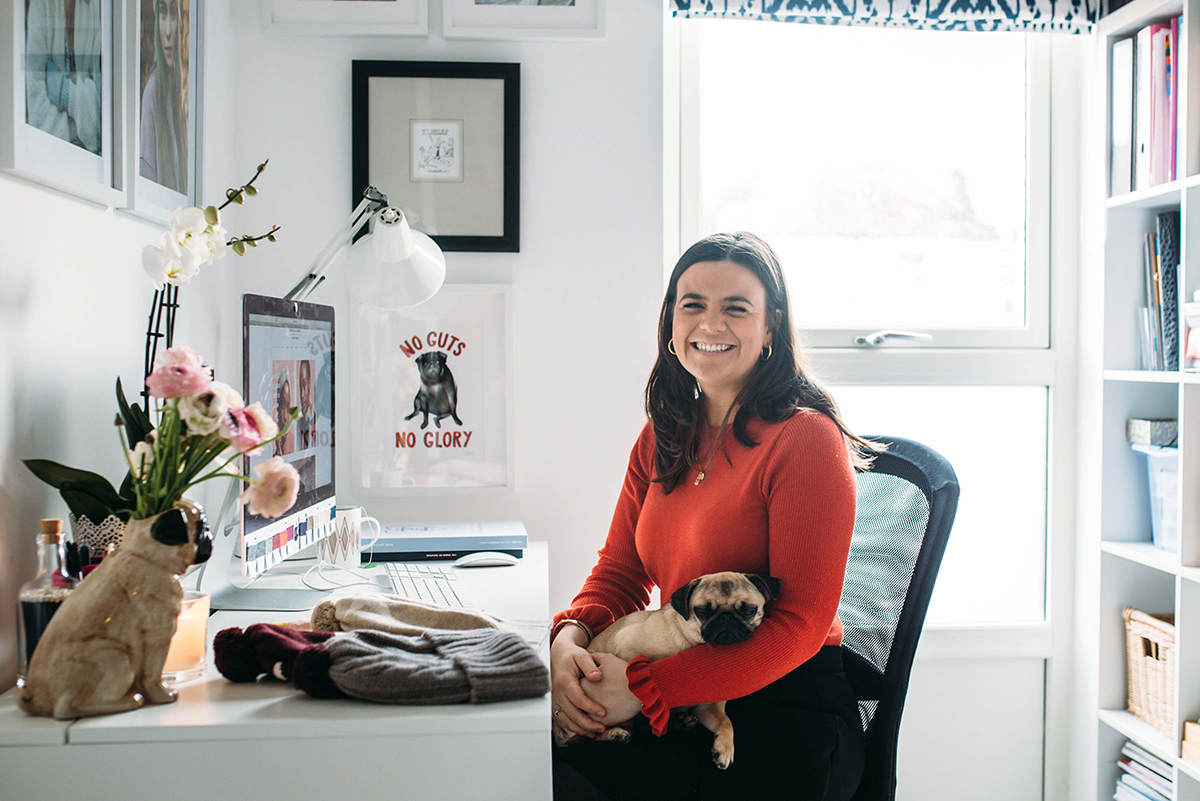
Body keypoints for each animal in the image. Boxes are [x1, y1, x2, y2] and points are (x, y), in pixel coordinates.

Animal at [19, 501, 212, 719]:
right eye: (201, 528)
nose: (209, 534)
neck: (143, 555)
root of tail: (39, 701)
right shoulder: (159, 636)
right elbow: (152, 675)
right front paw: (162, 694)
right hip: (118, 657)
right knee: (66, 707)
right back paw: (130, 700)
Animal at [552, 568, 777, 767]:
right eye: (702, 611)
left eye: (748, 610)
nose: (726, 617)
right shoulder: (626, 643)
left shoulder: (708, 708)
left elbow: (726, 722)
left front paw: (725, 748)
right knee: (592, 735)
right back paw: (616, 733)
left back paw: (680, 722)